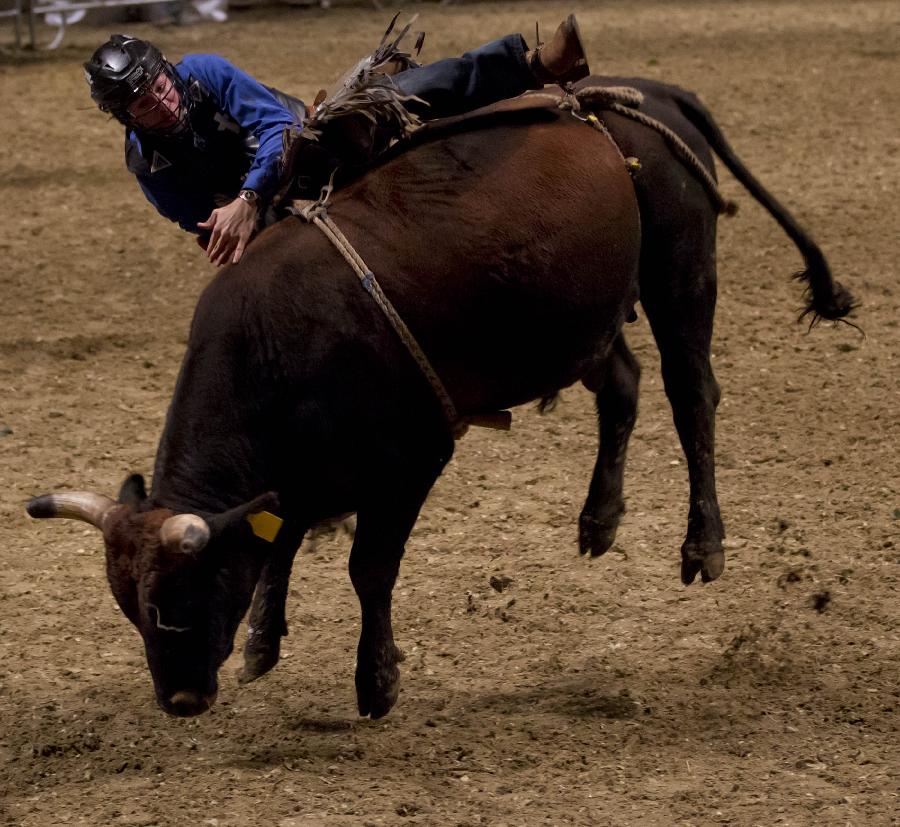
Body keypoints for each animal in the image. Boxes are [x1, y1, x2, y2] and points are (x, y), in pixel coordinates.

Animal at [22, 81, 852, 720]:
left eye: (181, 599)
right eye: (130, 607)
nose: (181, 700)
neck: (279, 342)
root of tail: (651, 93)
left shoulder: (411, 457)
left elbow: (368, 568)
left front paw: (376, 680)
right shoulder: (303, 471)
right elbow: (280, 534)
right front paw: (264, 638)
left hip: (682, 272)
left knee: (692, 396)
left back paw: (702, 544)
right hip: (582, 315)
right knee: (623, 384)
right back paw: (598, 519)